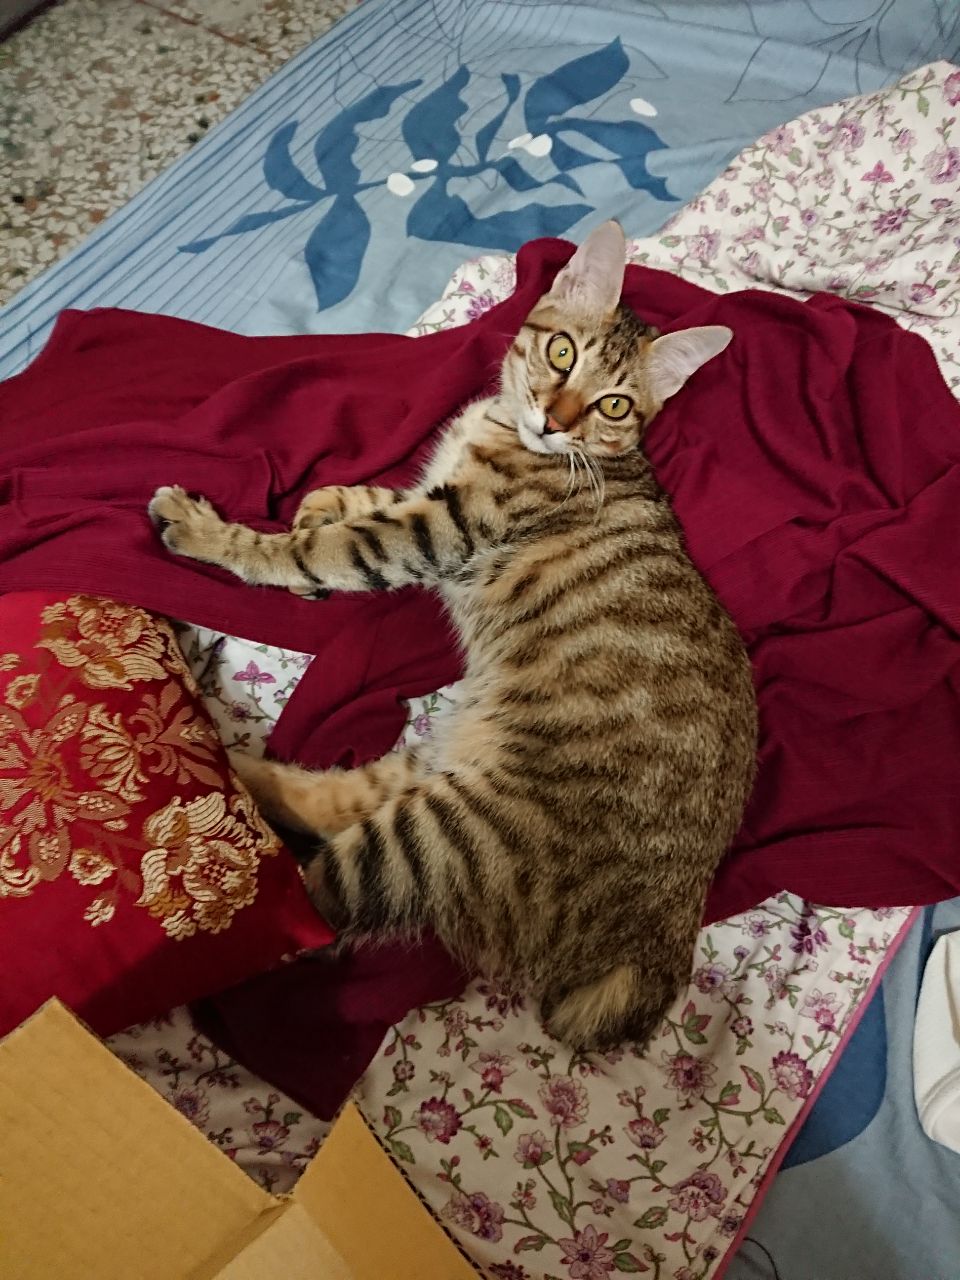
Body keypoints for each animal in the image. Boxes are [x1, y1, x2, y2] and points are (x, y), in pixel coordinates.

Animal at [148, 221, 757, 1051]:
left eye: (613, 404)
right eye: (561, 352)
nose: (555, 417)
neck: (513, 430)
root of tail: (658, 940)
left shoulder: (434, 530)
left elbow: (317, 548)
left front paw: (217, 534)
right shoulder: (427, 498)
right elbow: (360, 499)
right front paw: (318, 502)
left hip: (445, 835)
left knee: (315, 909)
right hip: (436, 768)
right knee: (331, 797)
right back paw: (227, 764)